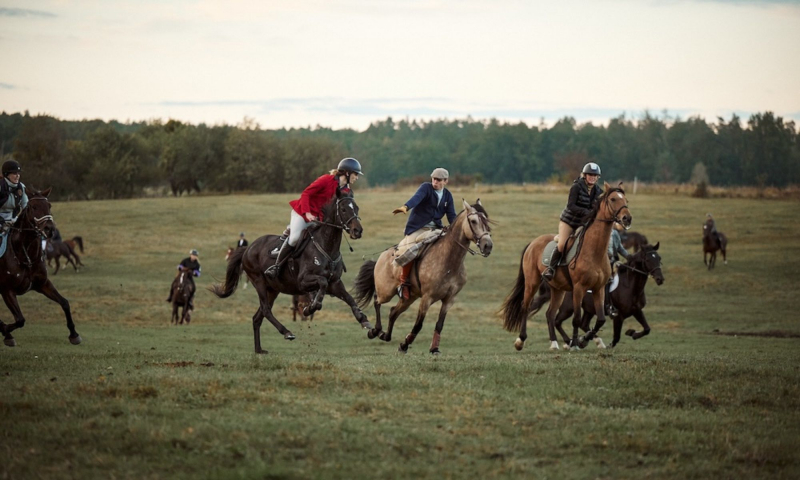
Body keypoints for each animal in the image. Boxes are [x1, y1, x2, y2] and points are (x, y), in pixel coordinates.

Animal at [0, 188, 82, 348]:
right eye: (33, 207)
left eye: (49, 205)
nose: (50, 229)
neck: (26, 256)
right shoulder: (7, 290)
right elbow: (20, 319)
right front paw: (6, 332)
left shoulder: (43, 284)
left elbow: (64, 303)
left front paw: (74, 334)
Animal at [208, 189, 368, 354]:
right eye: (343, 209)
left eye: (356, 208)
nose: (357, 230)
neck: (326, 246)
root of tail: (248, 248)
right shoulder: (304, 281)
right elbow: (321, 285)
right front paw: (311, 307)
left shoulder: (335, 283)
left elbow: (349, 298)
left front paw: (363, 319)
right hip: (259, 282)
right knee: (265, 310)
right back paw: (287, 332)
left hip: (273, 289)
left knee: (257, 317)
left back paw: (259, 349)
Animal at [352, 198, 490, 352]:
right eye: (473, 221)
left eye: (487, 220)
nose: (488, 246)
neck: (449, 261)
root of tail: (382, 257)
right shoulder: (427, 298)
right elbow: (418, 324)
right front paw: (404, 344)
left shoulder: (449, 299)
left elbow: (439, 324)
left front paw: (434, 348)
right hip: (386, 292)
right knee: (377, 301)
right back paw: (375, 331)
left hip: (409, 297)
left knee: (393, 312)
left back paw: (385, 335)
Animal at [500, 182, 632, 350]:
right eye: (613, 199)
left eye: (626, 200)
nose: (627, 218)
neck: (594, 251)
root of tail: (533, 242)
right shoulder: (579, 288)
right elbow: (576, 319)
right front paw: (576, 343)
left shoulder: (599, 288)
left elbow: (601, 319)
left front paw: (583, 340)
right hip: (532, 282)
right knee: (526, 306)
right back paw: (520, 340)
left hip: (558, 289)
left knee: (550, 314)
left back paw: (554, 343)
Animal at [528, 244, 664, 348]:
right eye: (648, 260)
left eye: (659, 258)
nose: (660, 279)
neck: (630, 286)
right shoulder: (618, 315)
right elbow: (616, 336)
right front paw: (612, 343)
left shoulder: (637, 310)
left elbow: (647, 328)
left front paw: (632, 333)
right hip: (568, 308)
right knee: (557, 321)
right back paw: (571, 342)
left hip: (589, 310)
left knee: (582, 324)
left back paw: (588, 341)